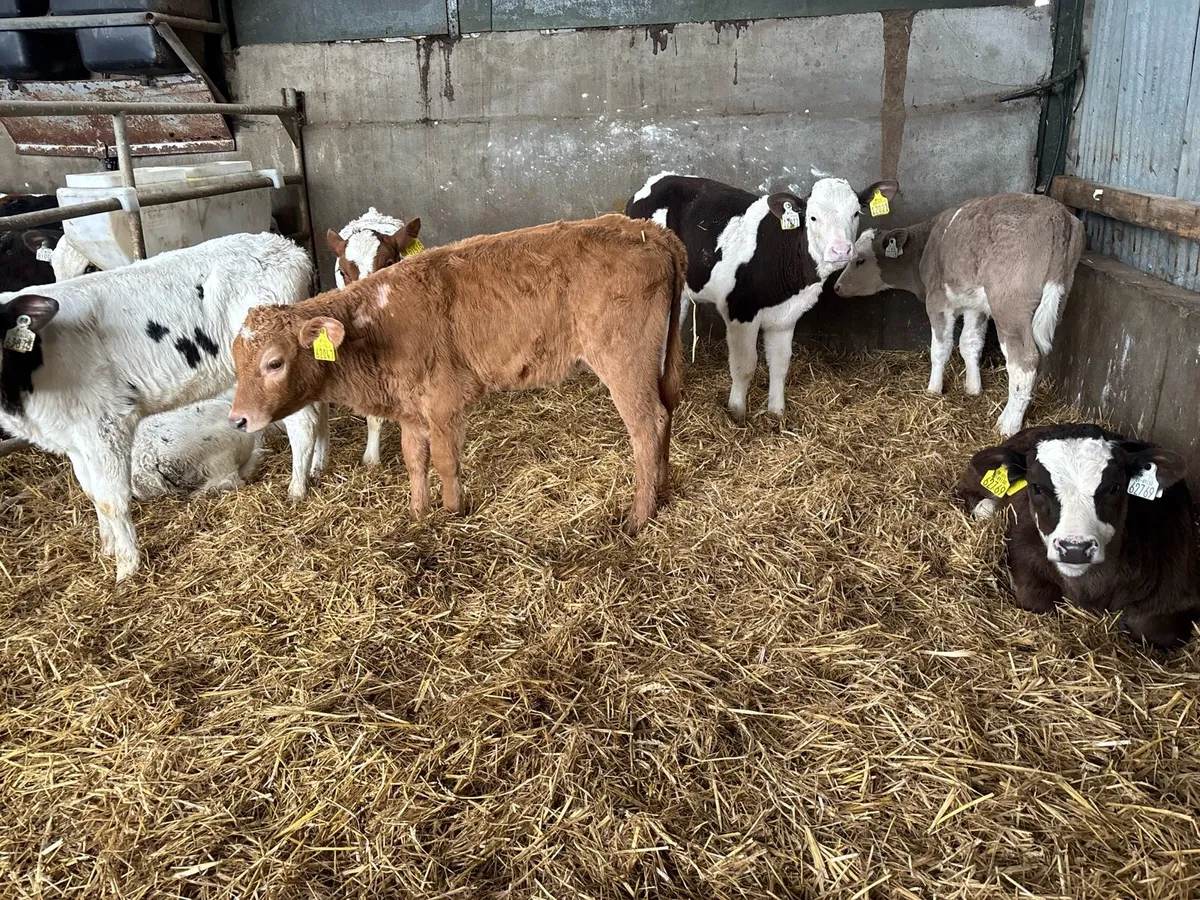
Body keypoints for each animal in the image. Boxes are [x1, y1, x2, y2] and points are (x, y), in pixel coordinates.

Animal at [0, 232, 328, 580]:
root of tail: (287, 248)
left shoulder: (107, 426)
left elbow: (112, 500)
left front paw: (127, 568)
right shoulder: (74, 439)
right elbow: (92, 493)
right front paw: (107, 548)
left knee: (302, 423)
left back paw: (296, 489)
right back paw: (317, 465)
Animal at [626, 171, 898, 420]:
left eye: (856, 213)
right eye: (813, 217)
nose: (841, 250)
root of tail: (655, 181)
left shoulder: (786, 317)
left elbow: (780, 364)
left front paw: (777, 412)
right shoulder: (740, 311)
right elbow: (744, 366)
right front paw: (736, 412)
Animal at [833, 193, 1085, 438]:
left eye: (860, 260)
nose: (836, 287)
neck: (926, 246)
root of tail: (1057, 212)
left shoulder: (937, 302)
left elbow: (940, 349)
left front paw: (933, 391)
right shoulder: (976, 305)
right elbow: (969, 343)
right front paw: (973, 388)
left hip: (1009, 307)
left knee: (1023, 360)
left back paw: (1008, 425)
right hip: (1057, 298)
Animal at [959, 423, 1199, 649]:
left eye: (1115, 487)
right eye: (1036, 487)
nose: (1074, 549)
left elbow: (1156, 631)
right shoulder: (1023, 552)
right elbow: (1037, 601)